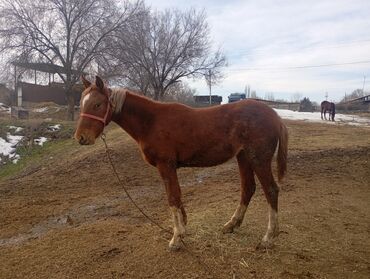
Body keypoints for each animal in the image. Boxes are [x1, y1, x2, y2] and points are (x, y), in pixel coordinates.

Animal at [74, 75, 290, 250]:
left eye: (97, 105)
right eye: (82, 104)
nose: (81, 138)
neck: (151, 122)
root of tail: (275, 115)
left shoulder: (166, 166)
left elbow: (172, 198)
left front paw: (176, 239)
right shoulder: (170, 168)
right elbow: (176, 197)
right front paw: (183, 229)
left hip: (258, 159)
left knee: (271, 190)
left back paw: (268, 238)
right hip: (243, 157)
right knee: (248, 188)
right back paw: (231, 225)